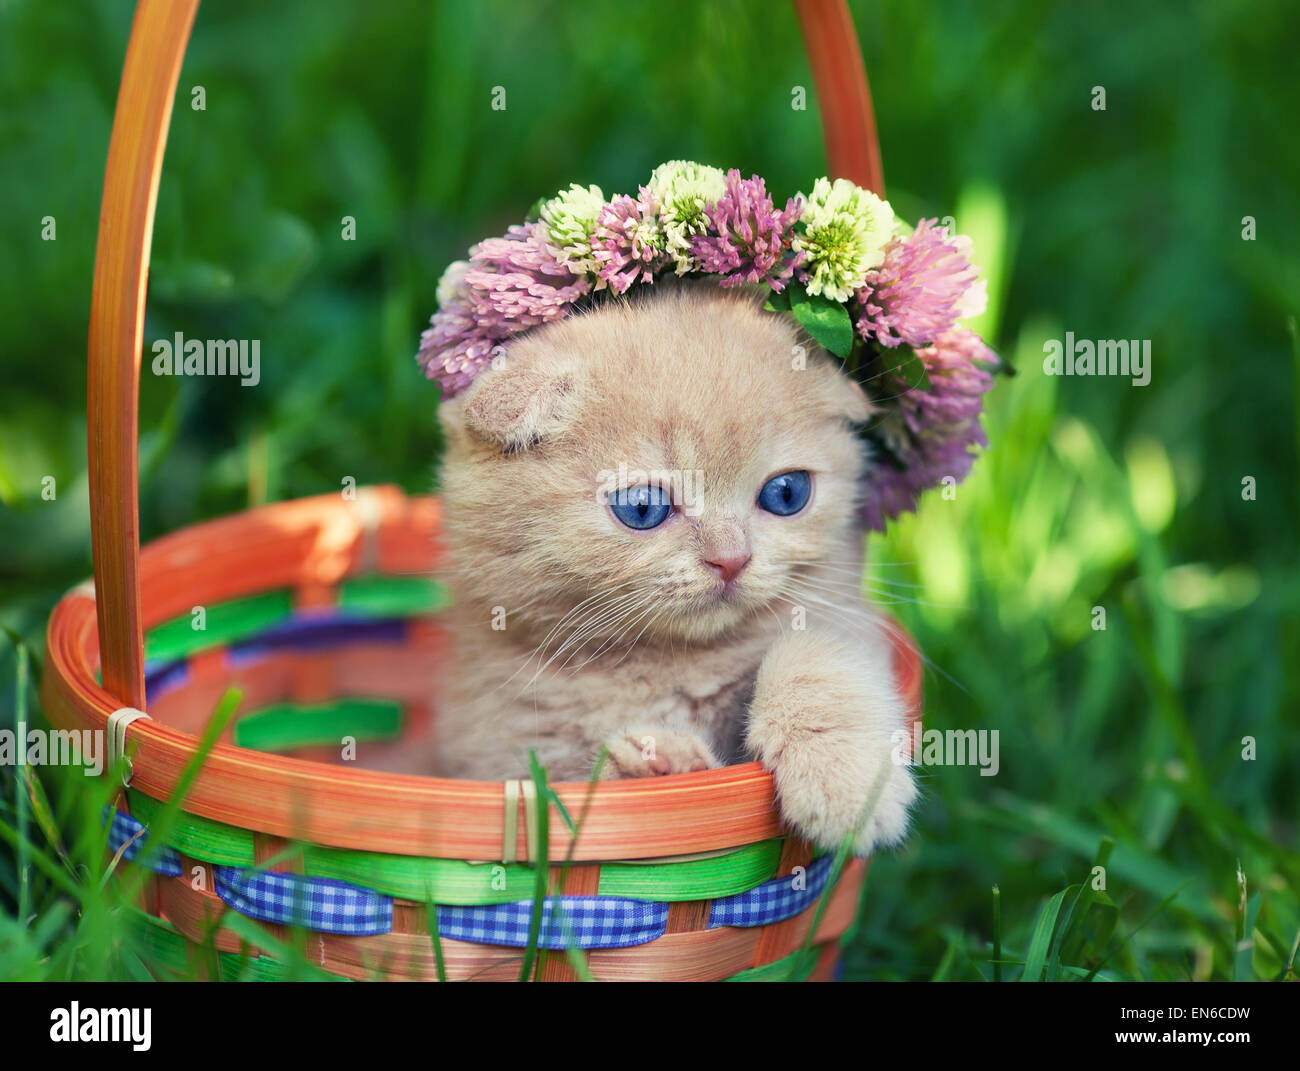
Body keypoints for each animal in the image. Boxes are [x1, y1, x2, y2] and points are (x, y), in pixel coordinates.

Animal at [434, 278, 915, 852]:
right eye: (642, 507)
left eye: (786, 493)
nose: (731, 559)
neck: (672, 666)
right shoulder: (493, 753)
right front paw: (657, 764)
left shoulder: (844, 618)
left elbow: (814, 649)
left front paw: (847, 779)